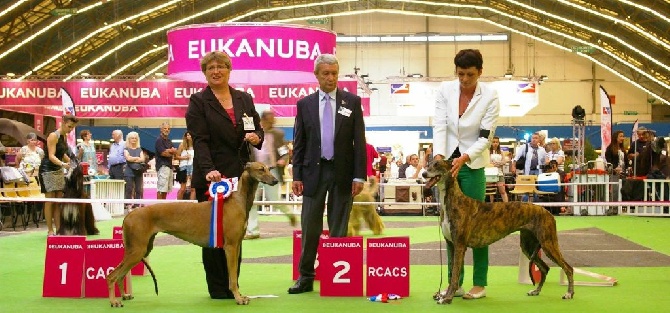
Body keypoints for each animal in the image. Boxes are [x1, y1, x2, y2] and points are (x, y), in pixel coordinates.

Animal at [106, 162, 284, 306]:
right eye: (260, 169)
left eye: (269, 168)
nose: (275, 181)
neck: (238, 200)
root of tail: (129, 215)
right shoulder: (231, 246)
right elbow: (233, 277)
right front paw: (238, 298)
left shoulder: (237, 245)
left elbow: (235, 276)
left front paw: (240, 296)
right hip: (138, 250)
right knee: (112, 275)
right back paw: (114, 301)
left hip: (141, 249)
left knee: (120, 274)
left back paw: (124, 296)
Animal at [422, 160, 576, 304]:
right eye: (429, 164)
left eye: (437, 165)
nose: (423, 174)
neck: (454, 201)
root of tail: (547, 212)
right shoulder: (451, 244)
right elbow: (451, 273)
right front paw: (446, 295)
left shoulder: (460, 246)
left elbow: (454, 276)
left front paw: (447, 298)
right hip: (528, 245)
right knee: (545, 268)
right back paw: (536, 291)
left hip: (548, 243)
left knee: (568, 268)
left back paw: (569, 293)